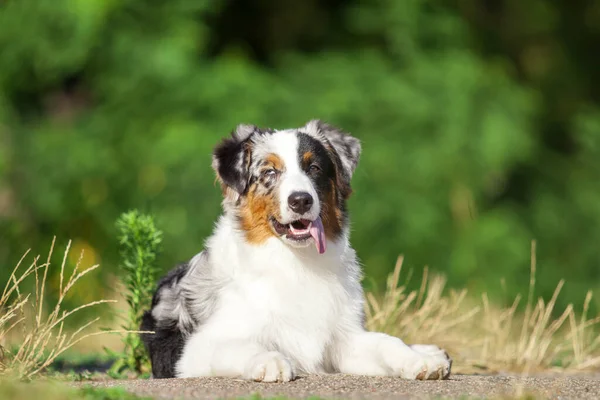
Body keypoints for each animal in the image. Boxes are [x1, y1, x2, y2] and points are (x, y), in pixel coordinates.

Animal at [139, 120, 450, 382]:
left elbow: (387, 341)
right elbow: (240, 347)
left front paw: (417, 361)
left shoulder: (343, 340)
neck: (294, 261)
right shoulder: (193, 352)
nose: (301, 200)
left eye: (314, 168)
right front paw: (270, 361)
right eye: (269, 172)